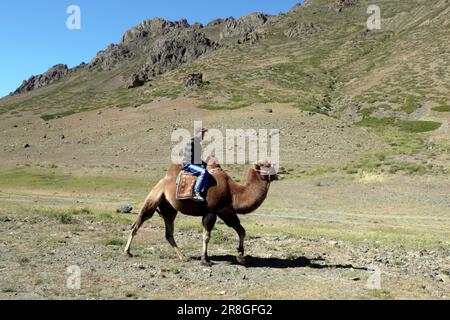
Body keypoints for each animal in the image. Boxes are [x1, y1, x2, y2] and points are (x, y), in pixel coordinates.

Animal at [124, 161, 278, 266]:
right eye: (266, 164)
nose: (280, 171)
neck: (233, 192)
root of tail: (163, 180)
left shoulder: (226, 211)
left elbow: (241, 230)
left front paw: (240, 256)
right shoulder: (211, 211)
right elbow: (206, 236)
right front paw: (205, 260)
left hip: (169, 208)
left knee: (168, 232)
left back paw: (183, 257)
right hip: (154, 197)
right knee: (139, 222)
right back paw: (127, 252)